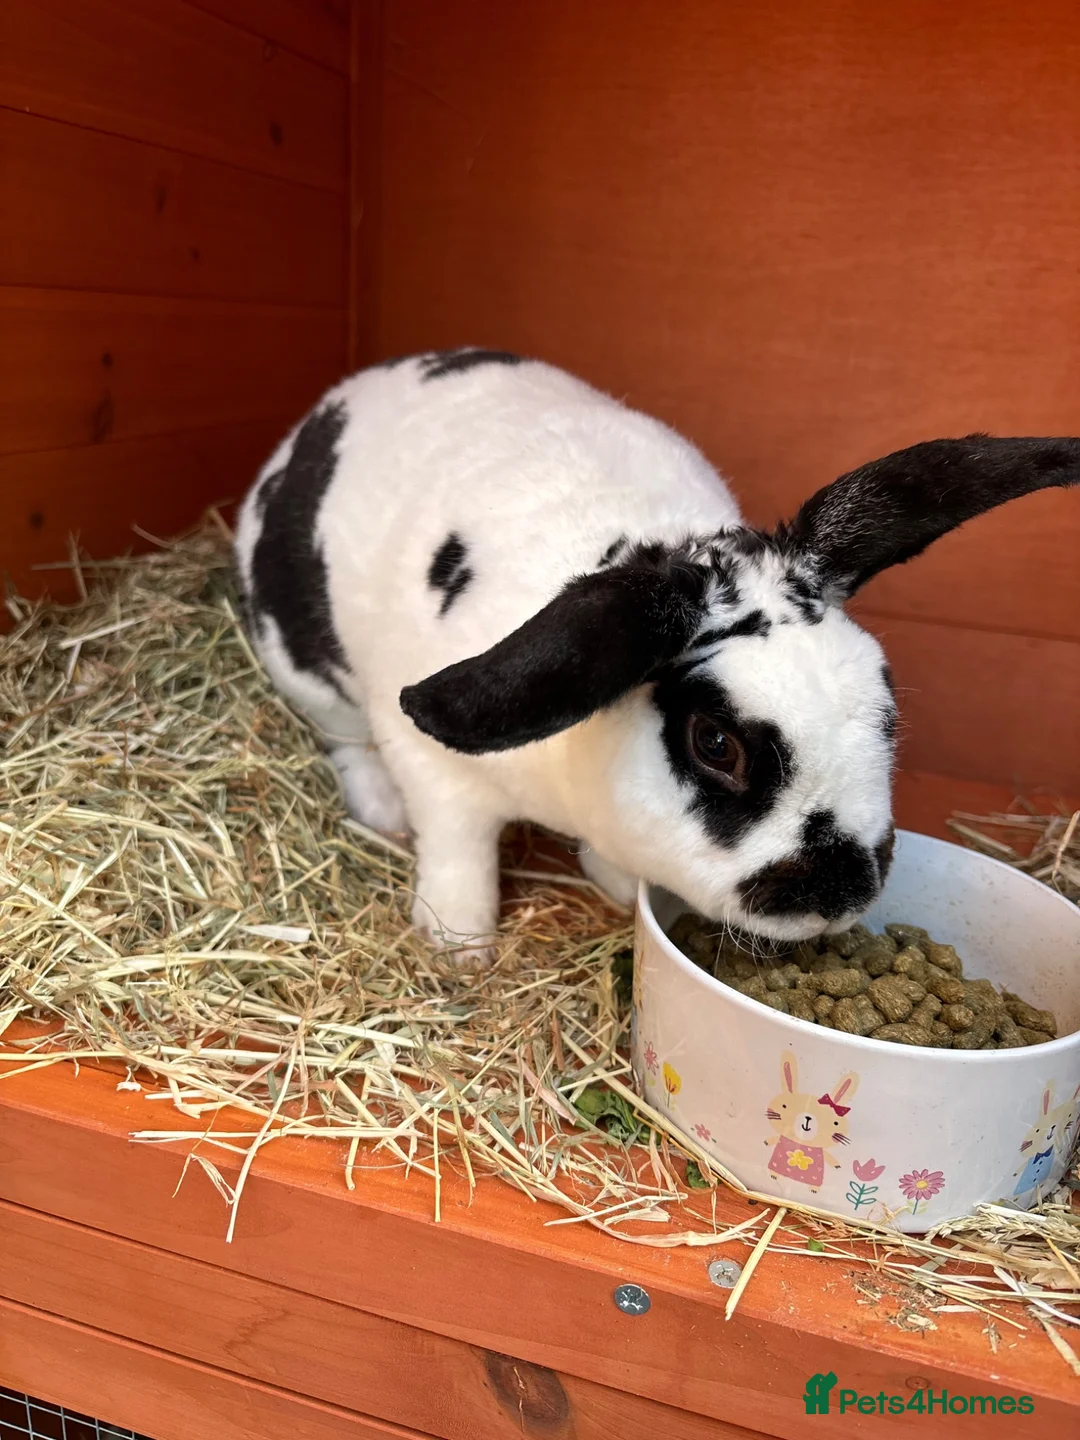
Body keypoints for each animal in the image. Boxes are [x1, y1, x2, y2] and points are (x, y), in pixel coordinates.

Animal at [234, 347, 1080, 961]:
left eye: (886, 703)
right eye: (716, 744)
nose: (837, 893)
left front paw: (611, 882)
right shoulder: (439, 775)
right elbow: (458, 850)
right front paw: (456, 944)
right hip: (306, 670)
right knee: (344, 737)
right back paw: (379, 811)